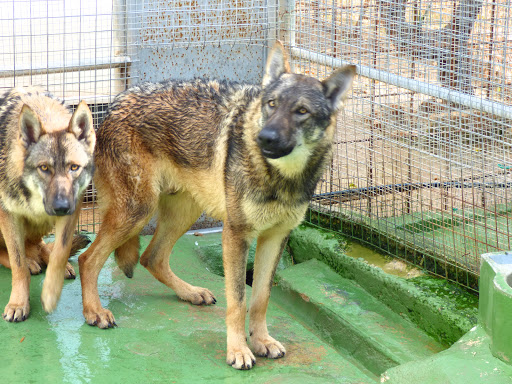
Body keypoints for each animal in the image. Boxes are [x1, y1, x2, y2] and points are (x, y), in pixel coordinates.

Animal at [0, 87, 96, 320]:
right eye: (44, 168)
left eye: (73, 167)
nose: (61, 207)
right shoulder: (8, 213)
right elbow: (17, 263)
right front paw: (18, 303)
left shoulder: (73, 209)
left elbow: (60, 252)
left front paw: (51, 292)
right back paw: (31, 262)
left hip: (42, 224)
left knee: (40, 246)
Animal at [78, 42, 356, 368]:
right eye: (271, 104)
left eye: (301, 111)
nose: (265, 137)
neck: (280, 177)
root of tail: (113, 104)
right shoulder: (236, 235)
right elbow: (238, 301)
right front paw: (238, 351)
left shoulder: (275, 238)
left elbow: (260, 298)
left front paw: (262, 341)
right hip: (138, 212)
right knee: (88, 259)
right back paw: (95, 312)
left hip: (183, 213)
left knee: (151, 257)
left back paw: (190, 293)